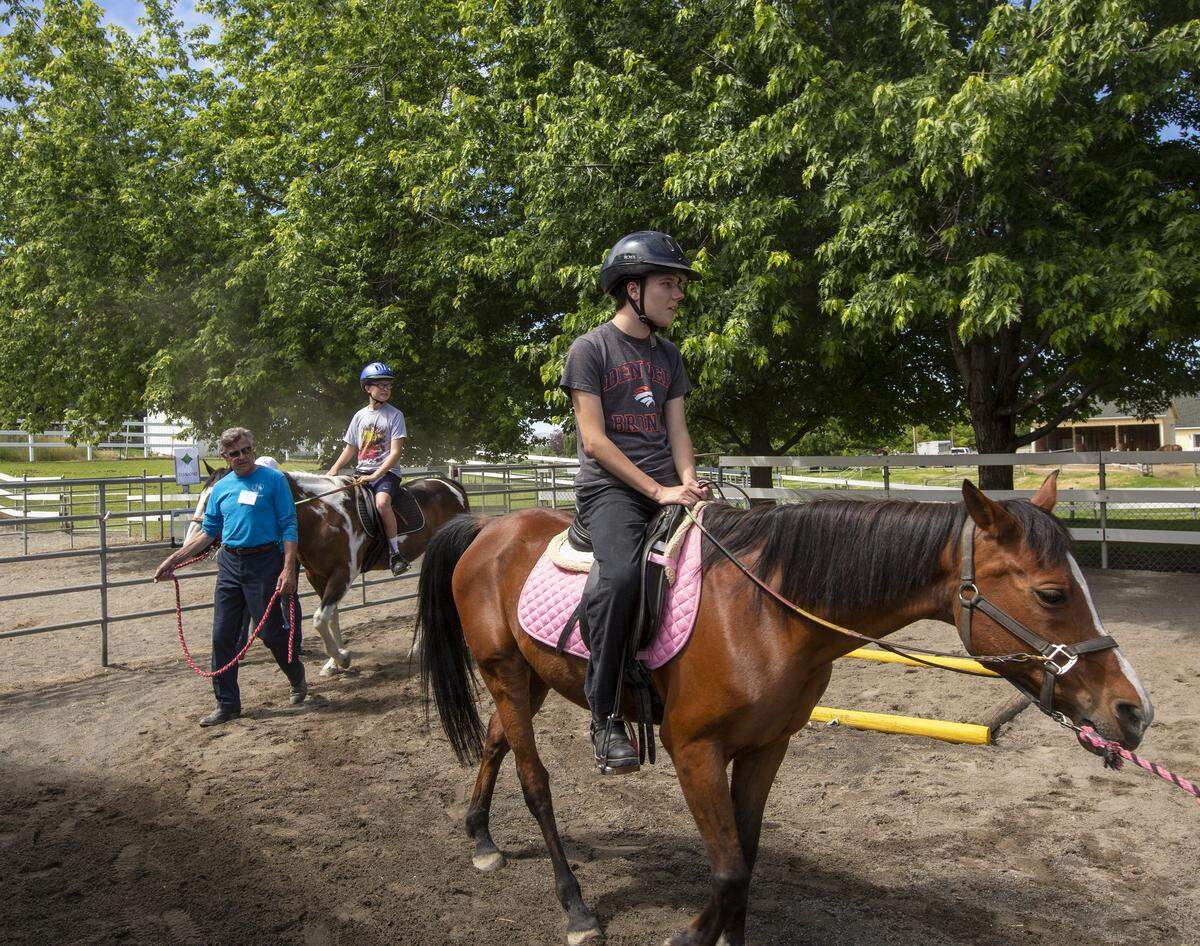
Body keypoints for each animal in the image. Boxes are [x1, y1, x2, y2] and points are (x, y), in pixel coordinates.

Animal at [186, 463, 469, 674]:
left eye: (219, 500)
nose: (192, 540)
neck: (321, 516)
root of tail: (450, 485)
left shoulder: (342, 575)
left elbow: (319, 618)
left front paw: (342, 657)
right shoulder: (318, 577)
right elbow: (331, 617)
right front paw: (334, 662)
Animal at [416, 473, 1153, 946]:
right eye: (1054, 593)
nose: (1134, 712)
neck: (768, 613)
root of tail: (490, 526)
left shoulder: (767, 748)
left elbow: (746, 864)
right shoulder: (694, 751)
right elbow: (728, 871)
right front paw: (686, 937)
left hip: (530, 678)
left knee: (493, 743)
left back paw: (481, 839)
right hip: (507, 674)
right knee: (535, 782)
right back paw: (575, 908)